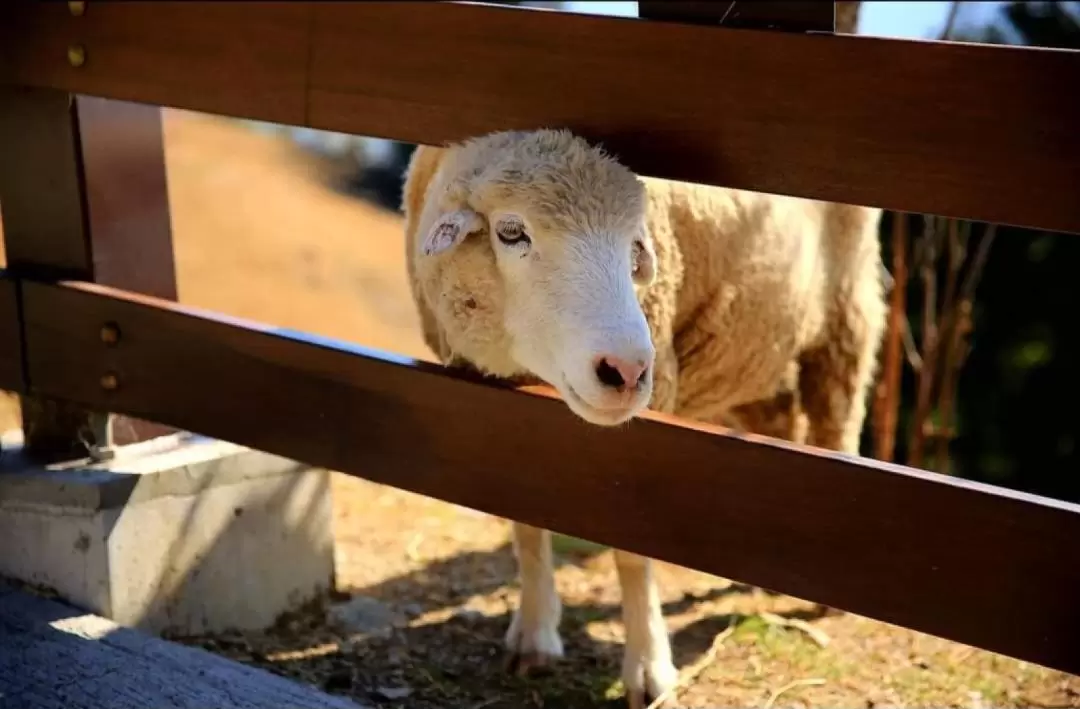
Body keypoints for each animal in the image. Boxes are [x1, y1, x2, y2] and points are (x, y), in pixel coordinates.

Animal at [399, 128, 885, 709]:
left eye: (635, 248)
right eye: (511, 232)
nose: (627, 370)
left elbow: (633, 548)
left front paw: (649, 669)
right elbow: (525, 520)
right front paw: (535, 635)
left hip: (846, 319)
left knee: (836, 429)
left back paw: (828, 598)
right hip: (752, 344)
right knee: (782, 423)